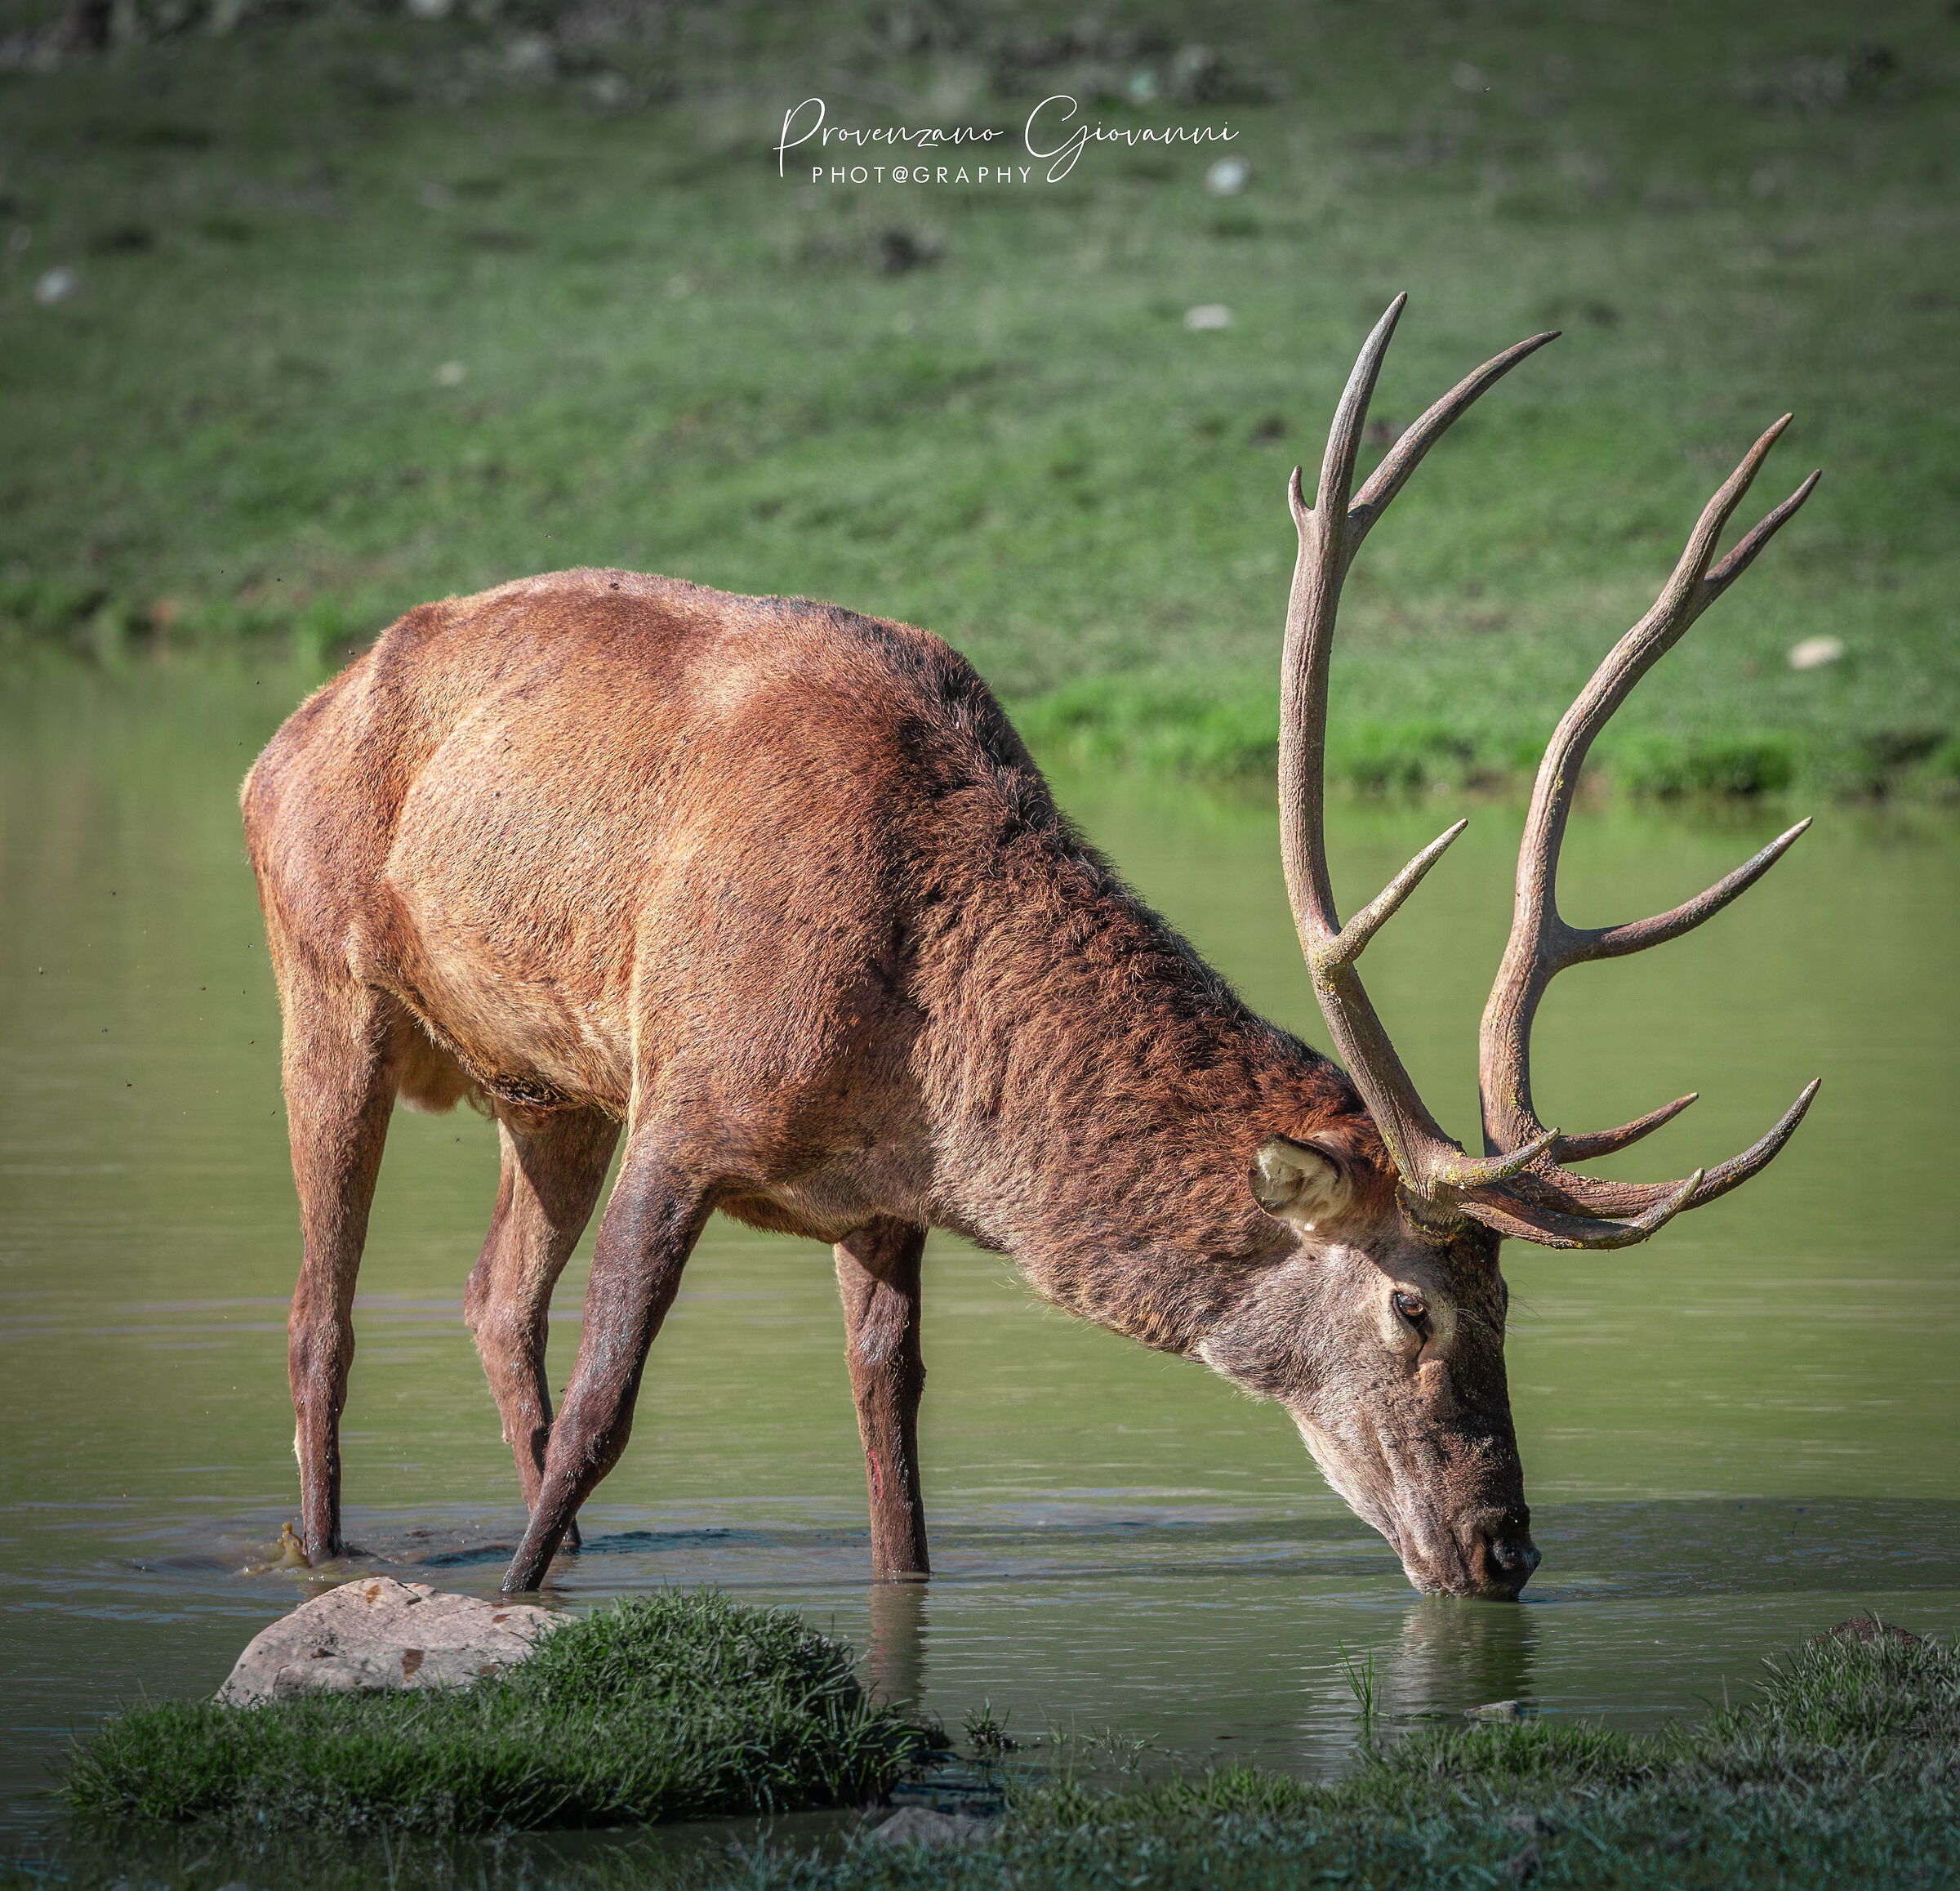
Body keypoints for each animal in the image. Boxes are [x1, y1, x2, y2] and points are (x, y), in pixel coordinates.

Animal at [242, 296, 1819, 1600]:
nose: (1507, 1550)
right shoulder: (688, 1104)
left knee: (492, 1297)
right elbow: (606, 1403)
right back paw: (334, 1554)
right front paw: (513, 1605)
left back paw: (551, 1547)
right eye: (1414, 1306)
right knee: (324, 1312)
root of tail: (287, 729)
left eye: (1510, 1304)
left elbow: (894, 1454)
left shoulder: (873, 1195)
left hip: (546, 1085)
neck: (928, 1053)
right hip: (323, 970)